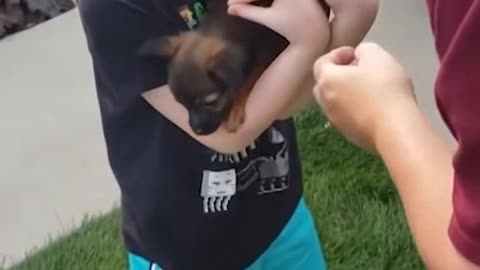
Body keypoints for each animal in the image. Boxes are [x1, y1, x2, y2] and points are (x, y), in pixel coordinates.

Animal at [139, 0, 326, 135]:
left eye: (210, 102)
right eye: (181, 104)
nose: (197, 131)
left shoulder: (269, 51)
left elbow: (246, 81)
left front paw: (234, 111)